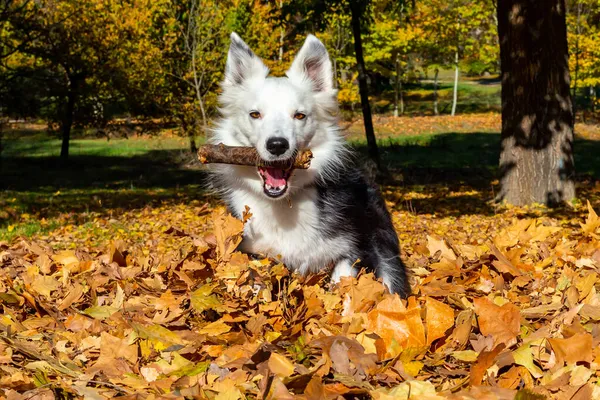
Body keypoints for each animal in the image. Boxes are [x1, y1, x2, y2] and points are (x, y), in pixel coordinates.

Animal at [209, 32, 410, 296]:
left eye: (299, 115)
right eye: (255, 114)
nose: (277, 145)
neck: (284, 203)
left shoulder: (357, 248)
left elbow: (345, 291)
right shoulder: (254, 252)